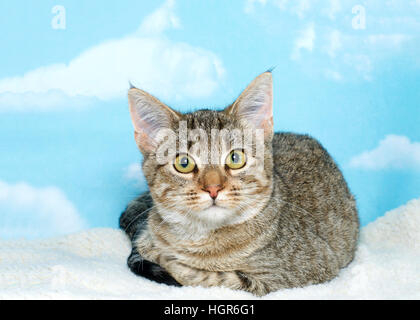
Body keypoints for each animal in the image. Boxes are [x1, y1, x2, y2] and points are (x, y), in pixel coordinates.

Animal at [118, 71, 358, 296]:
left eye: (235, 158)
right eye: (183, 163)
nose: (213, 188)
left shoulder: (297, 274)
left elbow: (209, 277)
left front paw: (167, 258)